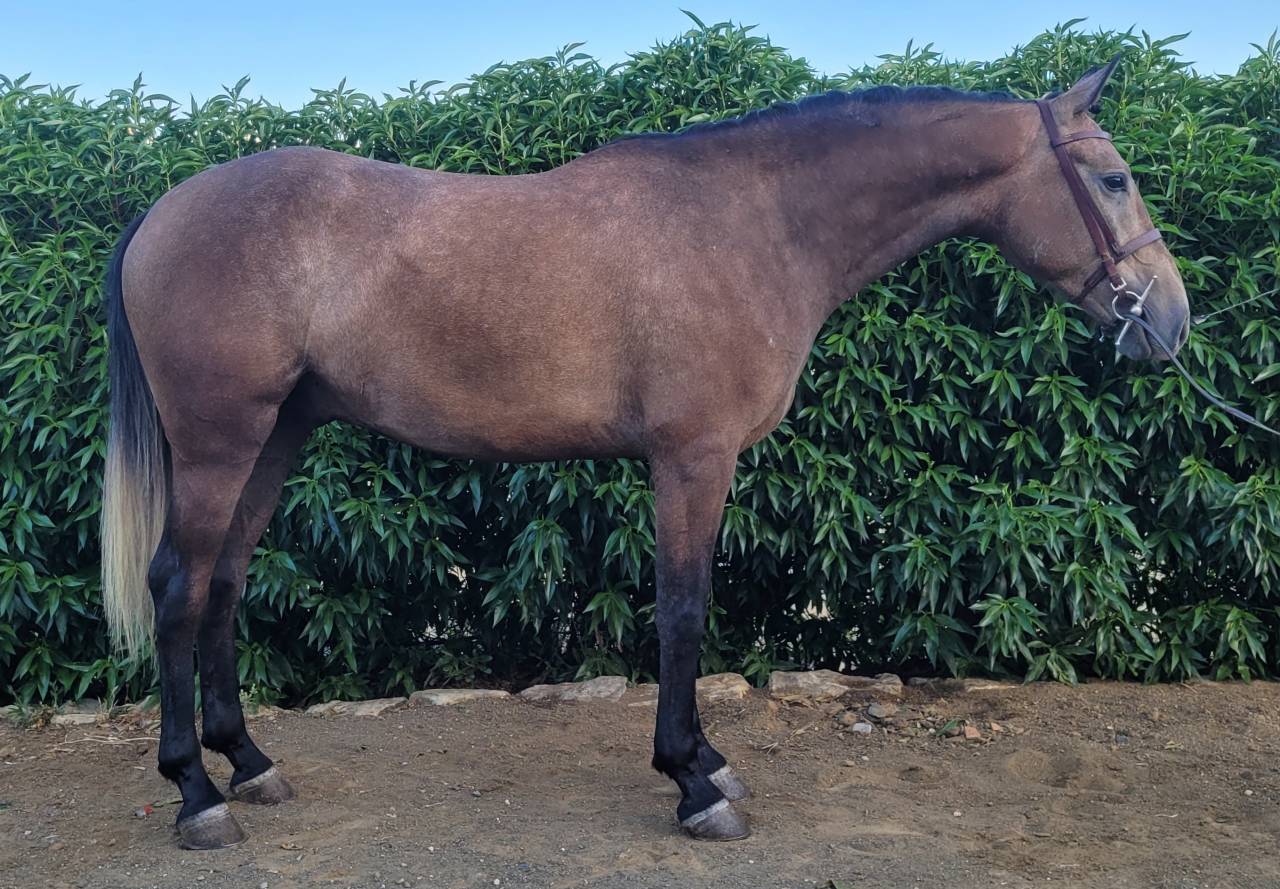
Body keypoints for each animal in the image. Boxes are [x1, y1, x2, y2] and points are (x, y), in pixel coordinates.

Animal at [100, 57, 1190, 848]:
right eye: (1113, 179)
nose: (1171, 321)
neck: (753, 226)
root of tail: (157, 213)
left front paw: (704, 761)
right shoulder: (691, 458)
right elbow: (683, 611)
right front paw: (692, 782)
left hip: (276, 434)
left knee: (225, 581)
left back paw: (250, 763)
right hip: (222, 441)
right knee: (178, 586)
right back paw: (196, 794)